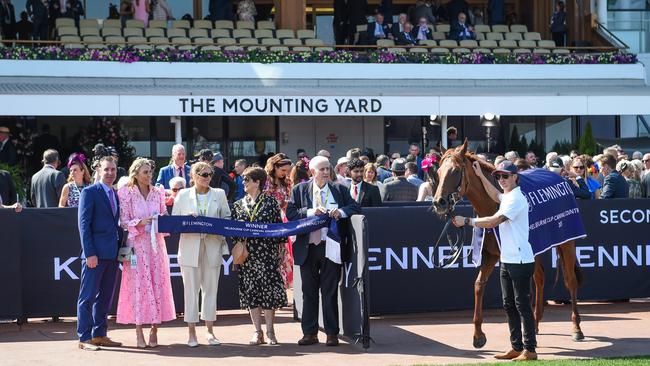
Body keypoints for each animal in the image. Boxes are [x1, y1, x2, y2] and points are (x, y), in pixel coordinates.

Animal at [432, 140, 584, 348]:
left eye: (455, 170)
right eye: (438, 172)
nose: (438, 202)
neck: (494, 206)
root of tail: (560, 177)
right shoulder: (491, 255)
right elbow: (479, 284)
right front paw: (478, 335)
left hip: (567, 242)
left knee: (570, 281)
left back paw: (576, 328)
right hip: (534, 249)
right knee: (540, 278)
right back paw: (535, 325)